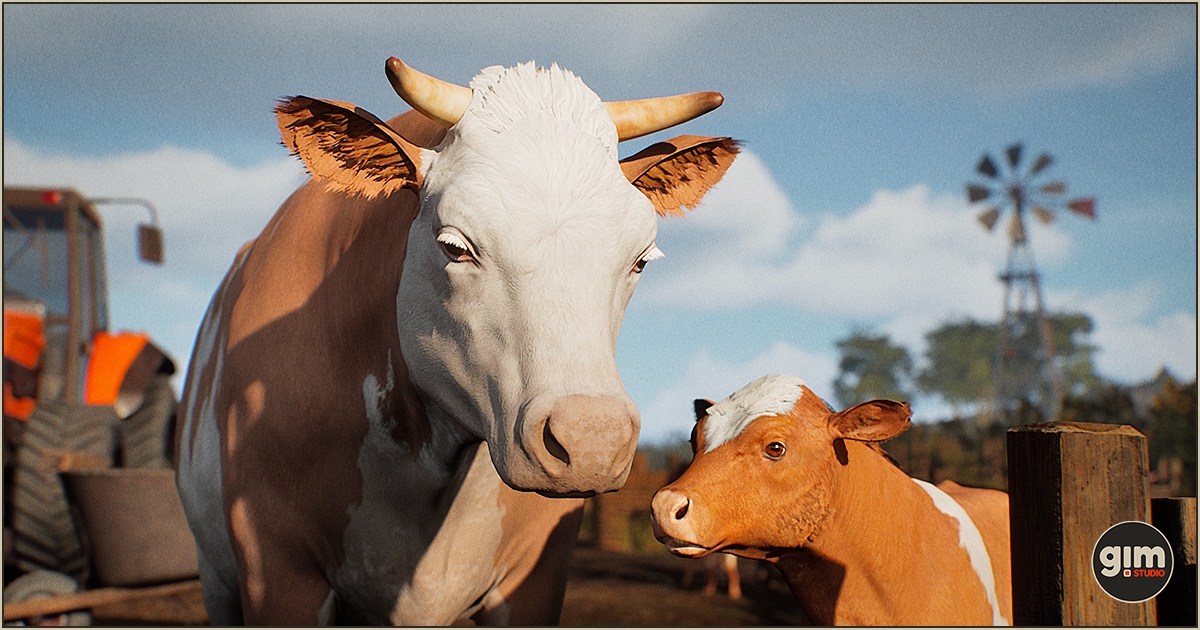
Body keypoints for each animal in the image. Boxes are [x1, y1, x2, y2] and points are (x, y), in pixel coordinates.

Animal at [175, 57, 738, 625]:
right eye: (454, 246)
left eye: (642, 258)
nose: (592, 441)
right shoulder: (277, 572)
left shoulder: (536, 575)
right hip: (215, 576)